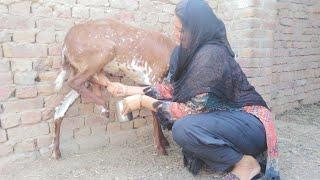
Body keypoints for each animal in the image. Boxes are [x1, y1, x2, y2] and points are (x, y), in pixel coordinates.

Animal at [53, 18, 176, 159]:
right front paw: (161, 148)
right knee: (75, 82)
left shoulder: (145, 83)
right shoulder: (153, 76)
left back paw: (56, 151)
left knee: (61, 108)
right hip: (103, 53)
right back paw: (104, 107)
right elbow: (155, 110)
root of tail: (65, 44)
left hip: (79, 67)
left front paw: (164, 141)